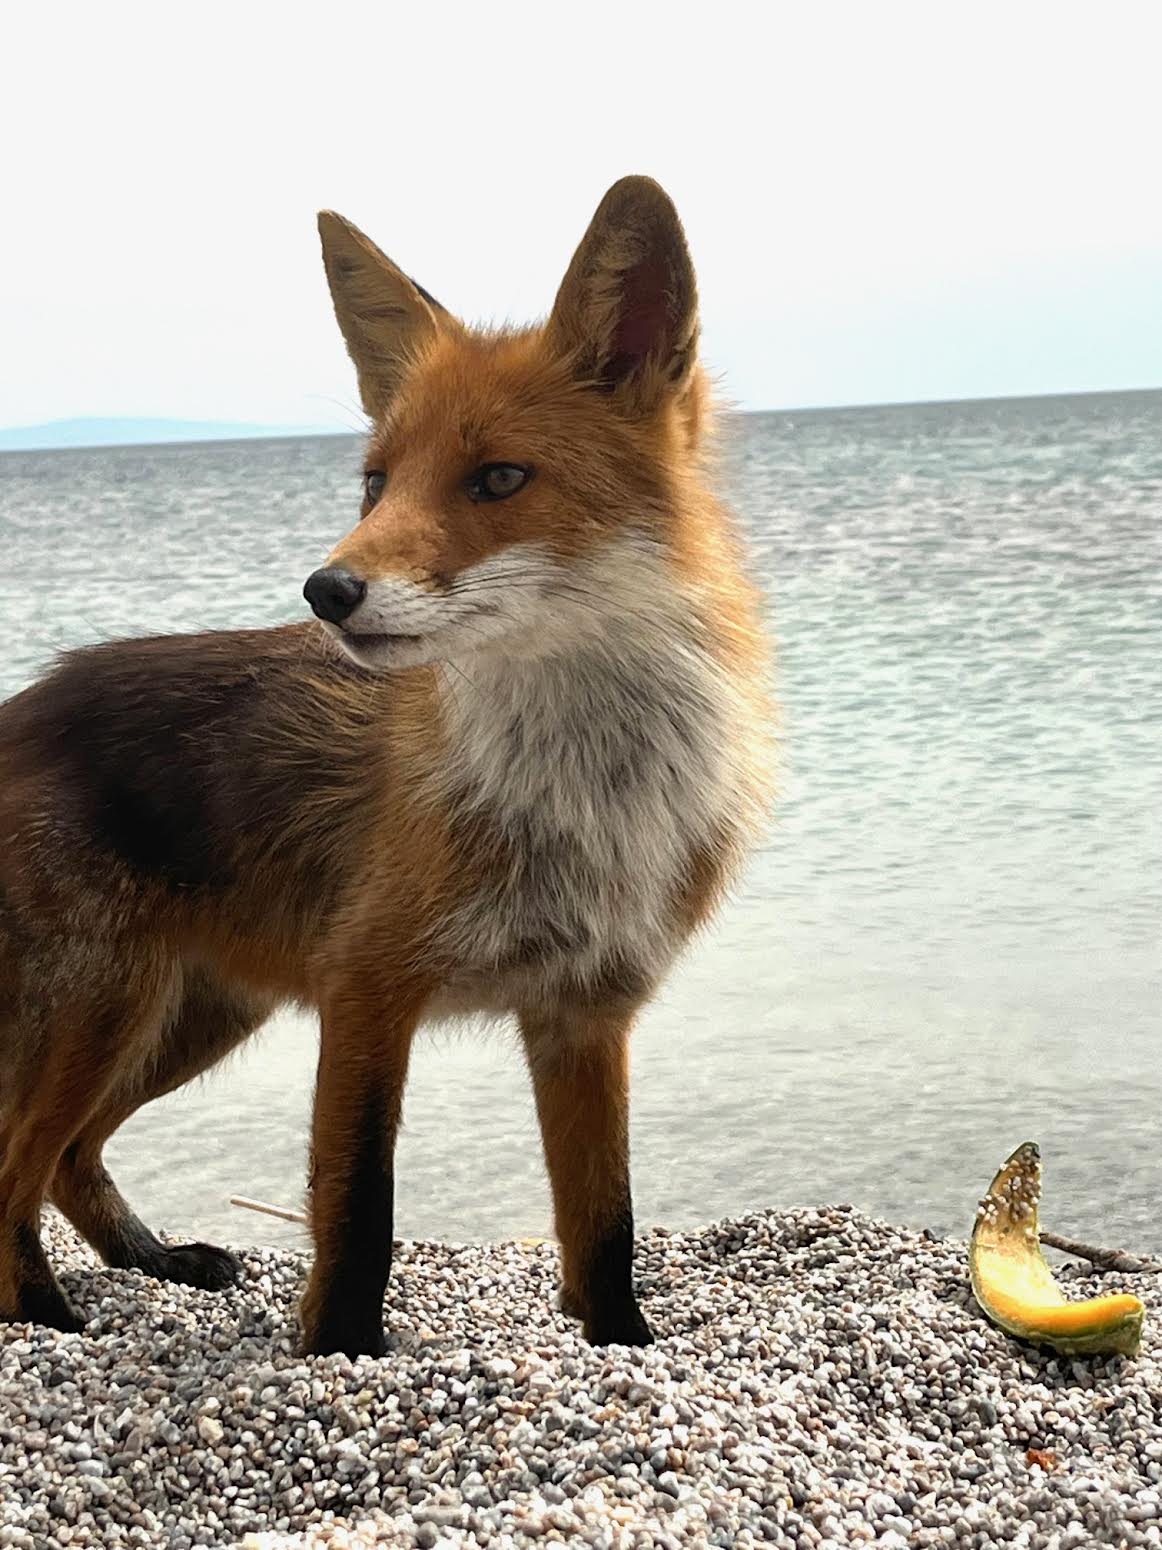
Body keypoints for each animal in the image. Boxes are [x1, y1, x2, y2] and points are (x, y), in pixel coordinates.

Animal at [0, 175, 774, 1351]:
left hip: (191, 1018)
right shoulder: (366, 989)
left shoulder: (587, 1010)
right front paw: (339, 1350)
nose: (326, 591)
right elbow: (360, 1207)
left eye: (498, 477)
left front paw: (623, 1345)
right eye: (375, 484)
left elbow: (607, 1224)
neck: (584, 788)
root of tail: (21, 704)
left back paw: (150, 1260)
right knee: (12, 1170)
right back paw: (44, 1317)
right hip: (105, 1008)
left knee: (67, 1160)